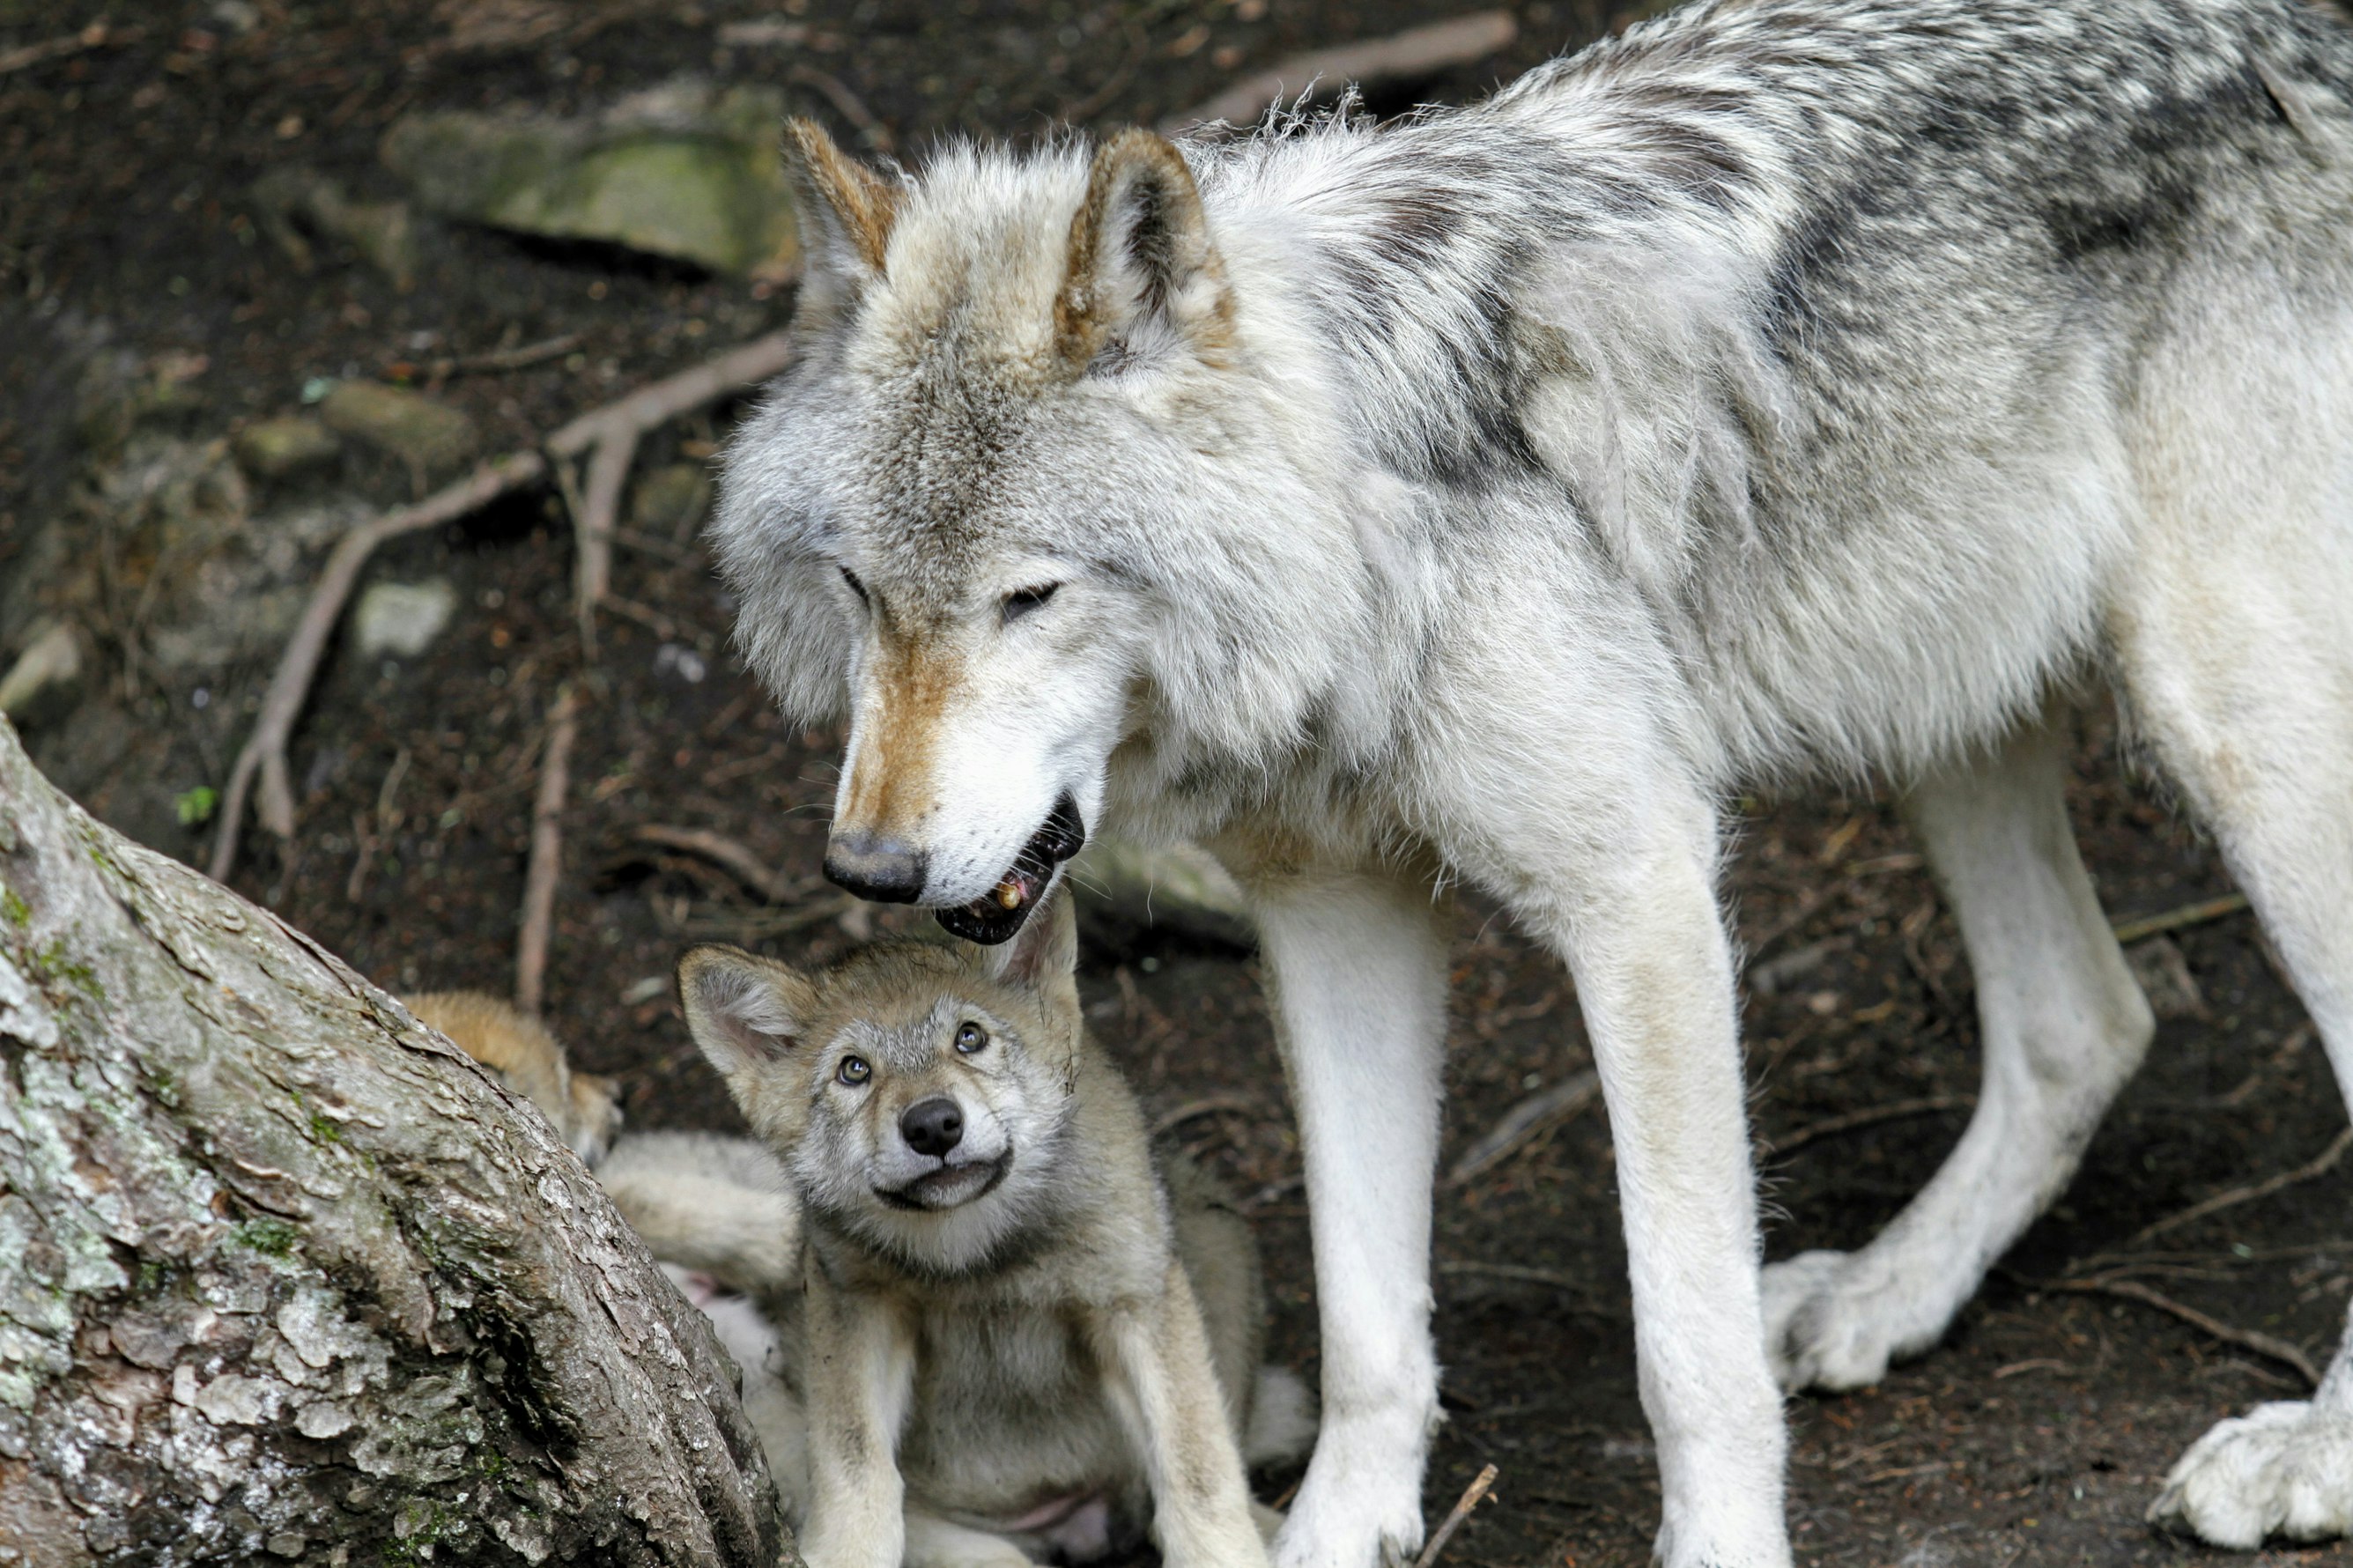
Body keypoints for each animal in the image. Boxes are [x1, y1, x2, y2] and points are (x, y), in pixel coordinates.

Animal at [672, 890, 1317, 1563]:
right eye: (854, 1071)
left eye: (969, 1038)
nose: (933, 1125)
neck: (977, 1255)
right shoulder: (856, 1303)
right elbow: (853, 1463)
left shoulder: (1133, 1299)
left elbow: (1198, 1471)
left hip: (1214, 1240)